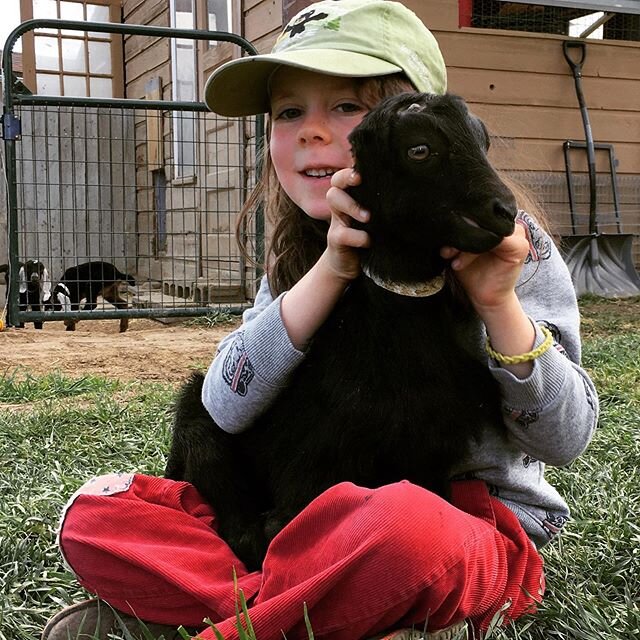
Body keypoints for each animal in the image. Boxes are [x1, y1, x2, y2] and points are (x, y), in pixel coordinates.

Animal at [166, 91, 520, 568]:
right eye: (420, 149)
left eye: (483, 142)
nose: (505, 212)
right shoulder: (312, 466)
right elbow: (282, 533)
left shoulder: (429, 455)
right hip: (201, 422)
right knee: (238, 526)